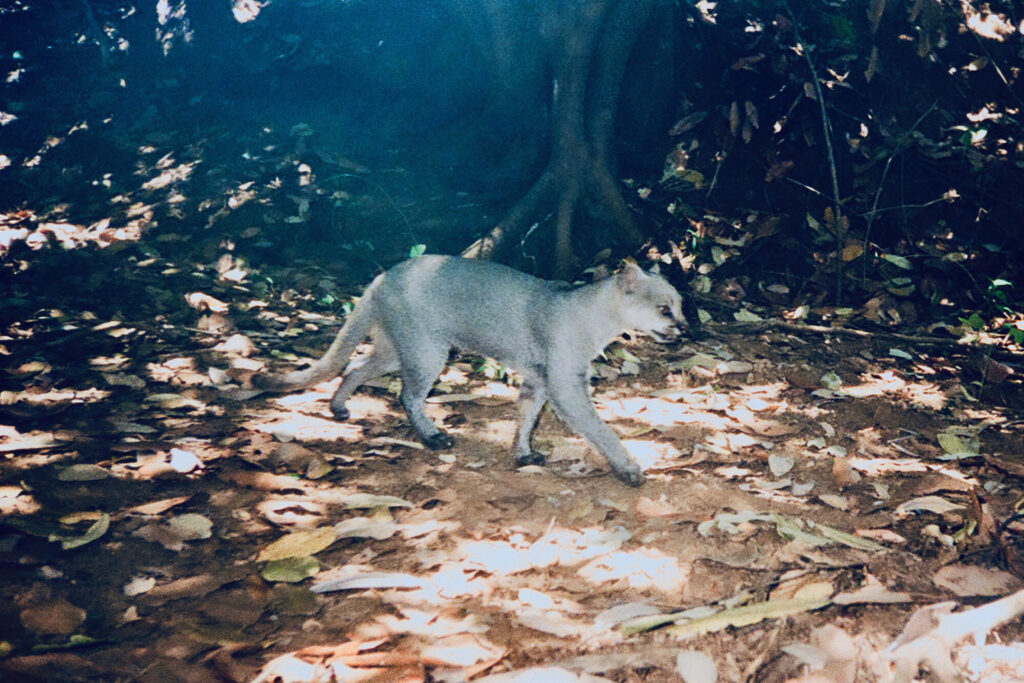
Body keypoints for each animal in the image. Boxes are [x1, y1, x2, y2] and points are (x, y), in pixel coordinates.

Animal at [256, 255, 684, 485]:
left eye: (681, 306)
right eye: (665, 309)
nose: (684, 328)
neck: (592, 316)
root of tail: (383, 276)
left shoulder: (539, 379)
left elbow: (525, 416)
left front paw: (522, 454)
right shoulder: (565, 384)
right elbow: (601, 430)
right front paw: (628, 469)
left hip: (398, 349)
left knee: (355, 367)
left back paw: (339, 408)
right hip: (428, 351)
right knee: (406, 395)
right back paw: (433, 437)